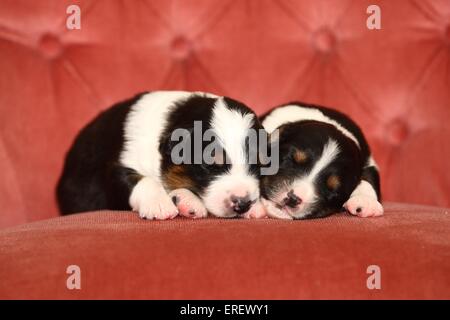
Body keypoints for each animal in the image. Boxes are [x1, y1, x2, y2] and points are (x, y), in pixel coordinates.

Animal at [57, 90, 266, 220]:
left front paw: (257, 206)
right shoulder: (118, 167)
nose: (243, 204)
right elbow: (142, 180)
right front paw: (159, 204)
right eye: (210, 165)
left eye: (258, 165)